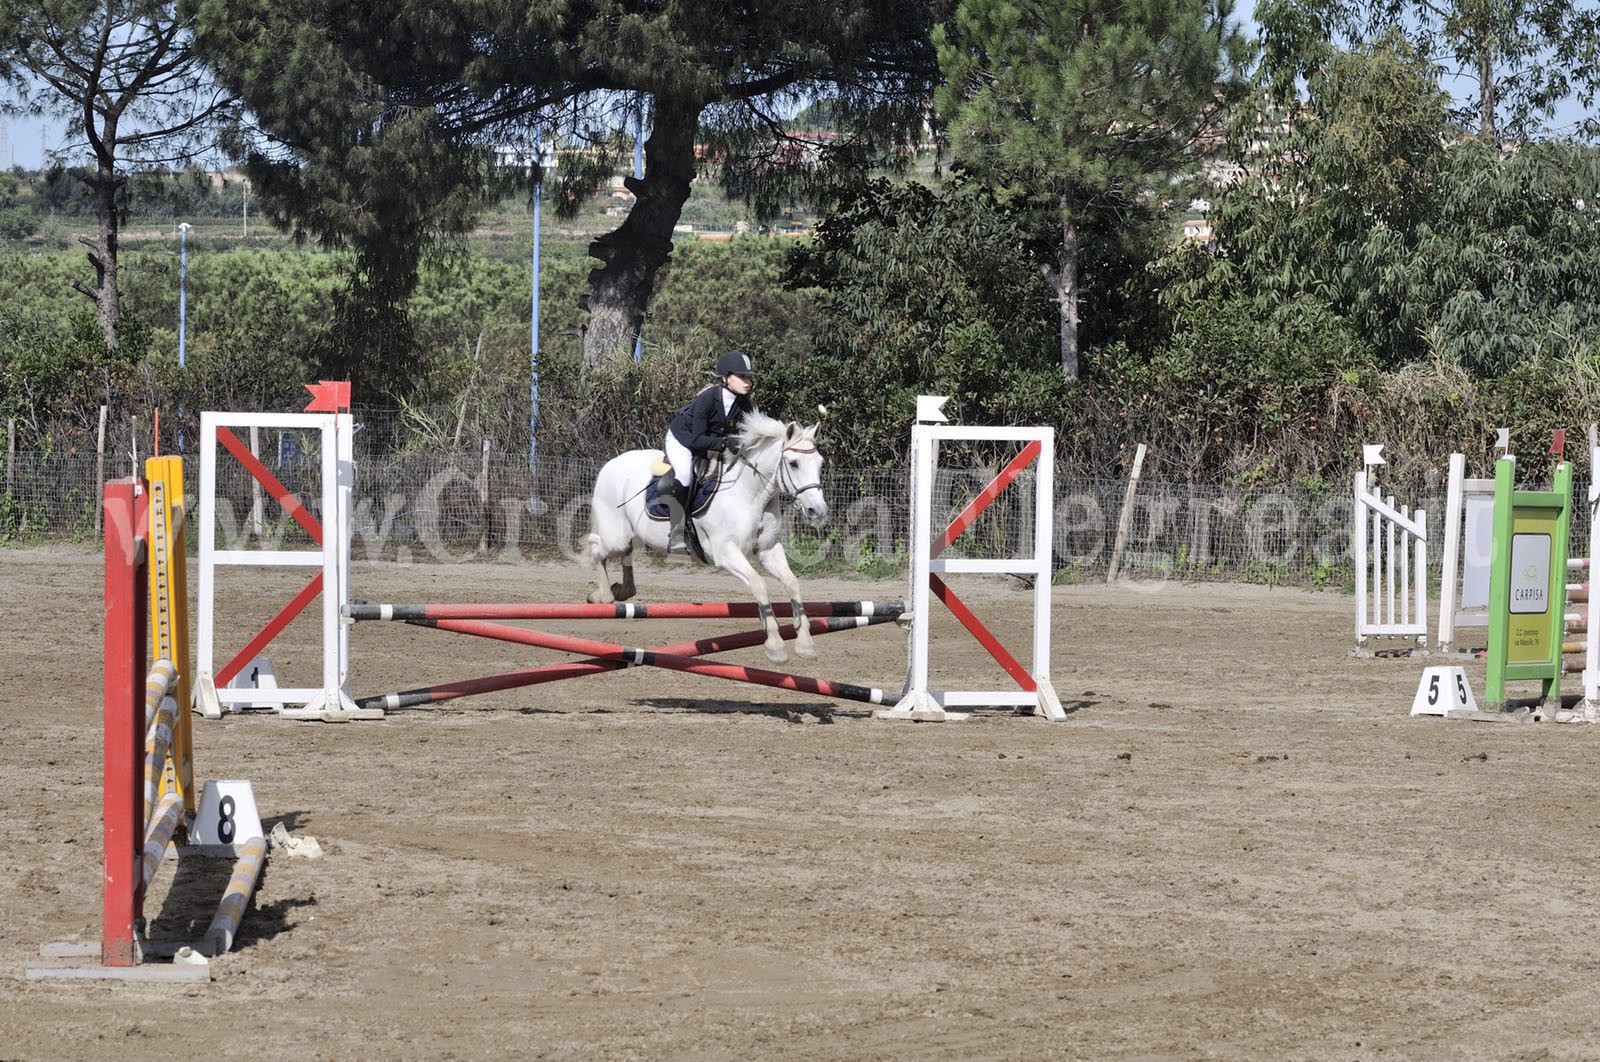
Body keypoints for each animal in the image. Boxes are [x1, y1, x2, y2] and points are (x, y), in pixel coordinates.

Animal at [592, 412, 838, 665]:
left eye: (820, 463)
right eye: (793, 463)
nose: (818, 512)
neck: (749, 494)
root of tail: (611, 463)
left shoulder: (768, 550)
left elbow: (792, 583)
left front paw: (805, 642)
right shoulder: (726, 553)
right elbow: (759, 583)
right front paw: (775, 645)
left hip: (632, 536)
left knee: (625, 555)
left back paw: (621, 590)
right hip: (616, 535)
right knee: (597, 548)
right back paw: (602, 595)